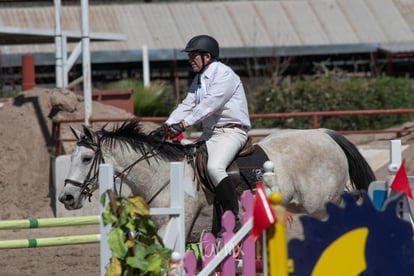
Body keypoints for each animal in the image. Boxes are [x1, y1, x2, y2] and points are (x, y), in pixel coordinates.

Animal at [58, 119, 376, 243]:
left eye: (86, 159)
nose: (66, 198)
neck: (162, 173)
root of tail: (325, 134)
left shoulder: (179, 223)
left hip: (320, 204)